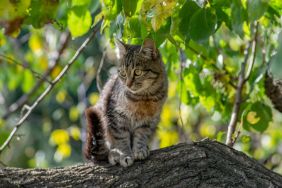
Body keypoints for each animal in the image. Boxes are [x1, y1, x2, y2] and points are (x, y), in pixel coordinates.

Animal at [83, 37, 167, 166]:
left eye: (137, 72)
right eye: (123, 73)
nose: (128, 84)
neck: (144, 97)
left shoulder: (149, 121)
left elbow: (141, 135)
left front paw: (140, 149)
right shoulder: (117, 116)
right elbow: (121, 139)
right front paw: (125, 154)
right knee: (104, 152)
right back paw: (114, 154)